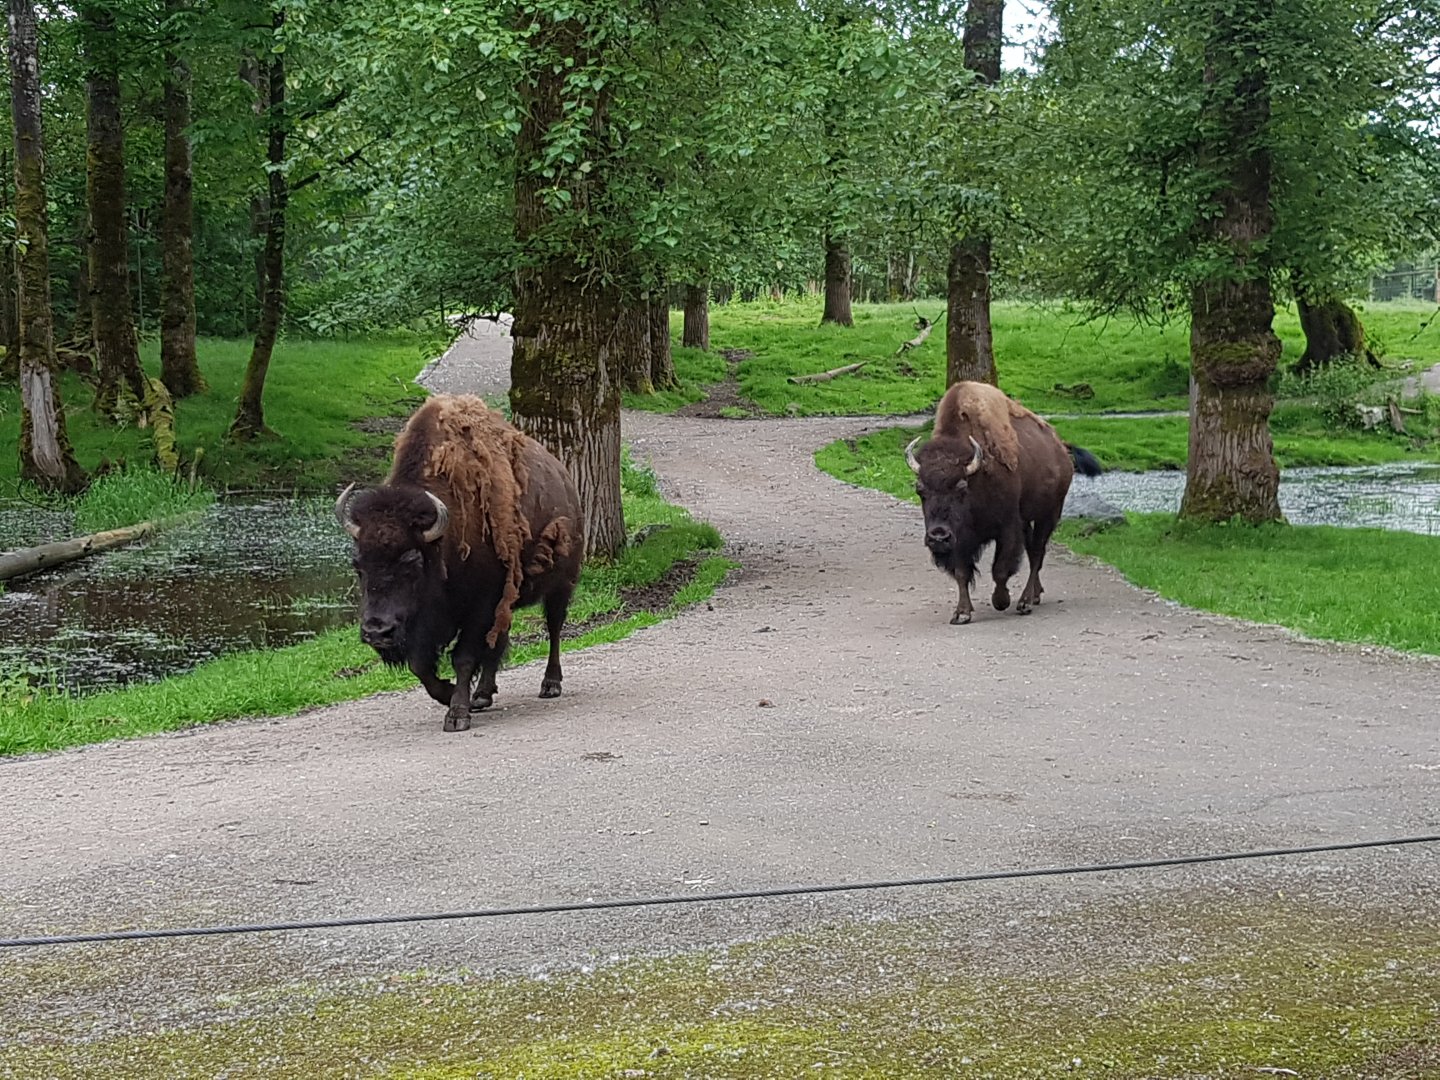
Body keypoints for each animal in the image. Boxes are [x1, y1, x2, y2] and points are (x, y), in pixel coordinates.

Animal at [335, 394, 583, 731]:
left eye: (412, 563)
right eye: (358, 565)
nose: (376, 631)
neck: (442, 542)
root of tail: (565, 479)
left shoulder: (480, 605)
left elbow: (463, 657)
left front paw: (457, 714)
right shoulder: (433, 622)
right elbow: (422, 665)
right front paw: (452, 693)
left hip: (561, 584)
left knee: (554, 627)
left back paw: (550, 684)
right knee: (499, 641)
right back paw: (482, 695)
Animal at [905, 380, 1102, 625]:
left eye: (961, 488)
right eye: (920, 490)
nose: (938, 536)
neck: (977, 476)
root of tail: (1061, 448)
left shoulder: (1007, 527)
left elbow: (1000, 569)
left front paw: (1001, 601)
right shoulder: (961, 539)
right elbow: (962, 573)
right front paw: (961, 613)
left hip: (1049, 514)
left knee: (1037, 553)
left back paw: (1025, 602)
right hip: (1028, 520)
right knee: (1033, 551)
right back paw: (1035, 595)